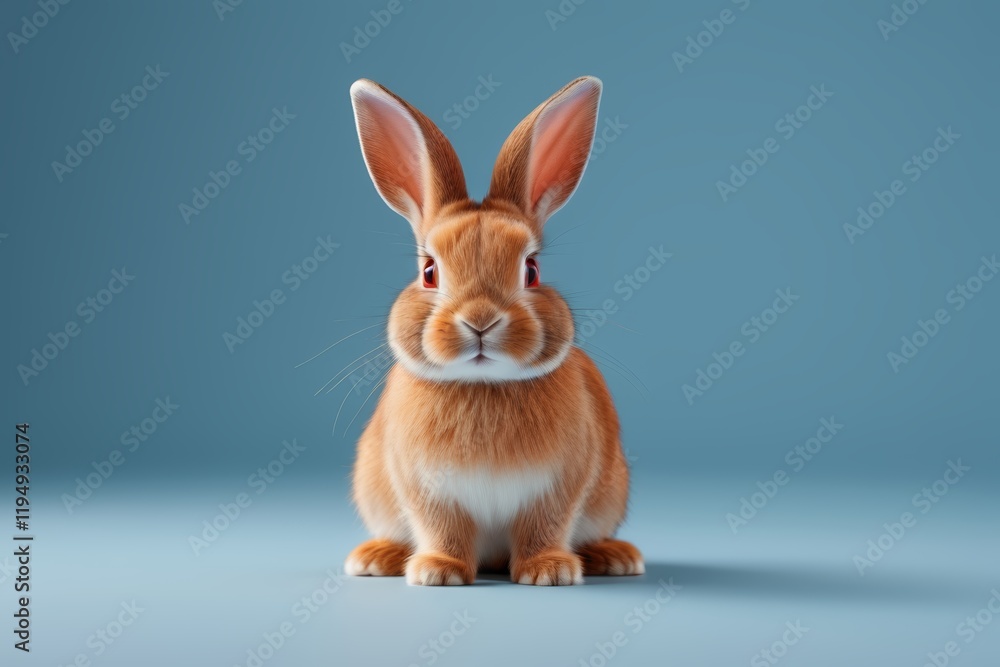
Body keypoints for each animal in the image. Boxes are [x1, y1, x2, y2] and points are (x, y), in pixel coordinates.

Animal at [344, 75, 643, 586]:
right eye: (429, 273)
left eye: (532, 271)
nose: (480, 320)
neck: (484, 384)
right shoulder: (427, 489)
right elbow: (442, 528)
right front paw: (438, 572)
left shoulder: (558, 486)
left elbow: (545, 525)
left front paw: (549, 571)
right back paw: (375, 558)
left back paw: (615, 557)